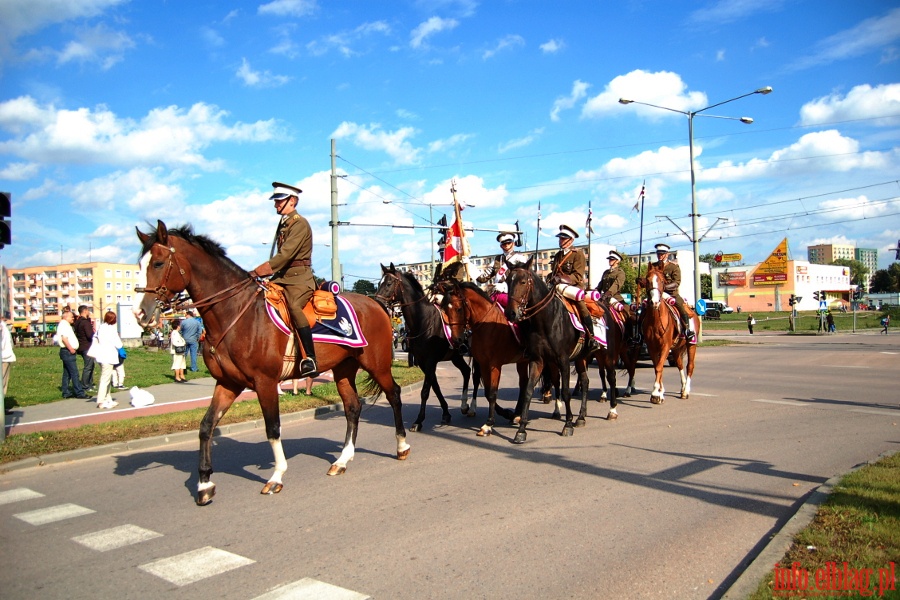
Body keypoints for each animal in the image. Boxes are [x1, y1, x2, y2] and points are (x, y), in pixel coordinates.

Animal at [133, 221, 408, 506]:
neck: (236, 313)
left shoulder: (264, 382)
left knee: (394, 394)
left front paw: (276, 476)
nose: (140, 312)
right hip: (344, 369)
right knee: (353, 407)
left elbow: (273, 428)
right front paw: (204, 484)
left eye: (158, 263)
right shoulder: (227, 383)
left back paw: (401, 446)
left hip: (377, 364)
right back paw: (342, 460)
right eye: (139, 264)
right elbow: (206, 426)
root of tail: (375, 304)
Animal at [372, 266, 474, 432]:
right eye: (379, 283)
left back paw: (471, 407)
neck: (423, 321)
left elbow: (425, 391)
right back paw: (464, 406)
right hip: (455, 356)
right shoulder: (422, 362)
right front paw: (446, 413)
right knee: (466, 371)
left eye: (388, 283)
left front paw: (418, 421)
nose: (377, 302)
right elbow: (435, 386)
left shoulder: (431, 360)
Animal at [434, 278, 536, 438]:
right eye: (444, 309)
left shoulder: (494, 365)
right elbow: (488, 392)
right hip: (521, 361)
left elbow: (493, 393)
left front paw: (488, 424)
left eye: (459, 309)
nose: (456, 340)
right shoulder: (483, 364)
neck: (486, 324)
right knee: (524, 383)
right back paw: (516, 415)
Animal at [500, 255, 592, 442]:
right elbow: (528, 390)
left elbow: (565, 391)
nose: (510, 313)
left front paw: (568, 424)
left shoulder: (564, 360)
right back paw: (580, 416)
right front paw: (521, 430)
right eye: (507, 281)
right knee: (582, 381)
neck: (545, 320)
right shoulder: (538, 360)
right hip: (576, 358)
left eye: (523, 281)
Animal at [644, 262, 700, 404]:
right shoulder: (652, 348)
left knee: (690, 366)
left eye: (662, 281)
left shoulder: (665, 346)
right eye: (647, 280)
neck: (655, 320)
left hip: (691, 344)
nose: (654, 302)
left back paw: (686, 391)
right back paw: (683, 387)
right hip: (676, 349)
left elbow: (659, 367)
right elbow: (657, 367)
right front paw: (660, 393)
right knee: (680, 365)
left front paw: (655, 393)